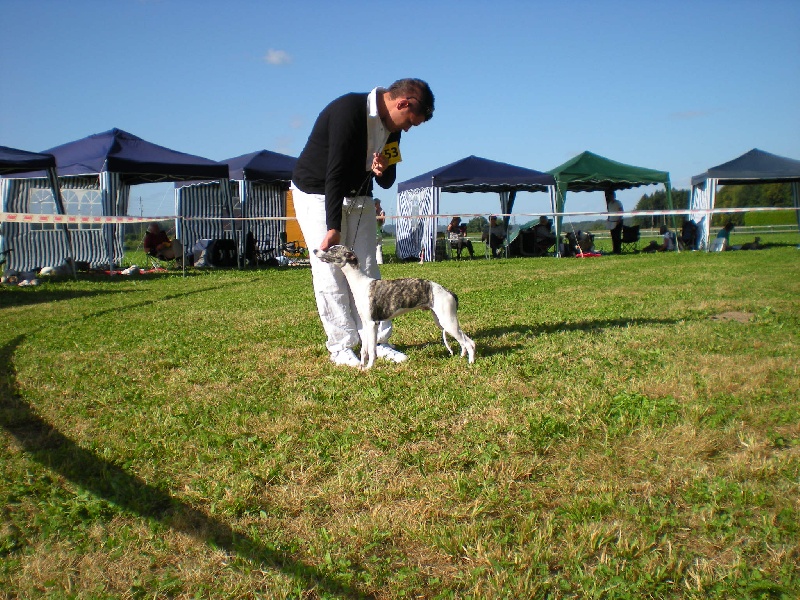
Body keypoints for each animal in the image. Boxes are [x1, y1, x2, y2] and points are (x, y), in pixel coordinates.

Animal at [312, 245, 476, 368]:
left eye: (332, 250)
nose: (314, 250)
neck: (361, 283)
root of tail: (449, 292)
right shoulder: (365, 324)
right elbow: (364, 350)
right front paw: (362, 367)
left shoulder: (372, 324)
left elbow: (372, 350)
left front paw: (369, 368)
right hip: (443, 320)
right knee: (464, 341)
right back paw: (462, 358)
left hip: (448, 321)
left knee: (470, 343)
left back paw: (471, 362)